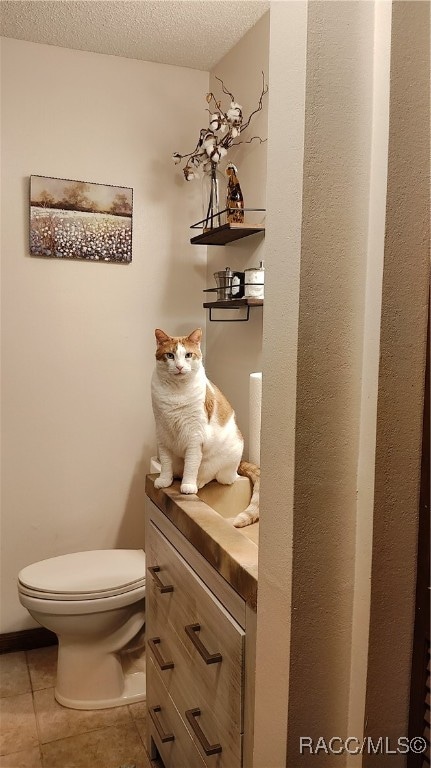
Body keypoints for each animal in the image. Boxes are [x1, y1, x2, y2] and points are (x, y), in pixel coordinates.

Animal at [152, 328, 260, 524]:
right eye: (170, 355)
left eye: (188, 355)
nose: (179, 367)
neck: (175, 393)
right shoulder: (162, 433)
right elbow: (165, 462)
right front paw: (164, 480)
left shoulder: (194, 436)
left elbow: (192, 463)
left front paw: (188, 485)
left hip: (227, 461)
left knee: (219, 476)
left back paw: (198, 480)